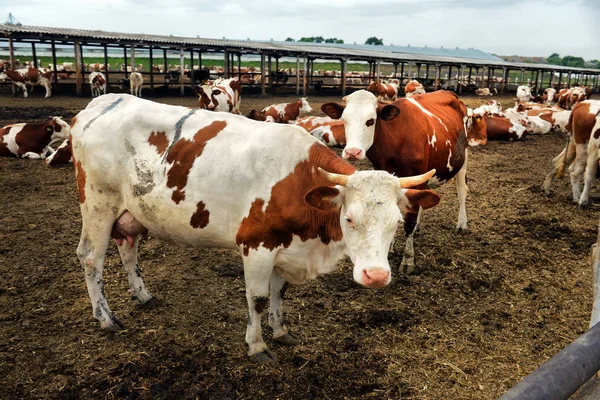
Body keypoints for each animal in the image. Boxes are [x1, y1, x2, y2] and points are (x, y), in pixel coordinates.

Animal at [69, 93, 440, 362]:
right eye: (349, 218)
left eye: (396, 223)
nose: (376, 276)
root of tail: (102, 102)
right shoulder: (256, 245)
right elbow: (258, 298)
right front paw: (257, 345)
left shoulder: (284, 245)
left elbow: (279, 292)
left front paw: (281, 331)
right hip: (98, 204)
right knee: (91, 258)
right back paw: (105, 317)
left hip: (130, 212)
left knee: (128, 248)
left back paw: (143, 295)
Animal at [324, 90, 468, 272]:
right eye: (344, 120)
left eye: (370, 121)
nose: (352, 152)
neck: (395, 140)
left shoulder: (417, 179)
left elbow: (409, 223)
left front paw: (408, 259)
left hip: (462, 160)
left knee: (462, 191)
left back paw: (462, 223)